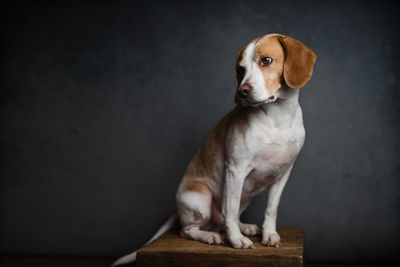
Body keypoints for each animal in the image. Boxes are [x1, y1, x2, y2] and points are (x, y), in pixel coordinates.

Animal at [111, 33, 316, 266]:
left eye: (266, 60)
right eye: (241, 69)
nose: (242, 91)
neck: (277, 117)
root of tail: (178, 211)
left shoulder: (283, 174)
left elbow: (271, 209)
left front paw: (269, 234)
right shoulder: (236, 170)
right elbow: (231, 210)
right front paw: (236, 239)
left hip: (245, 196)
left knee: (224, 218)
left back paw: (243, 227)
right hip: (201, 199)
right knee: (189, 229)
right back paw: (210, 236)